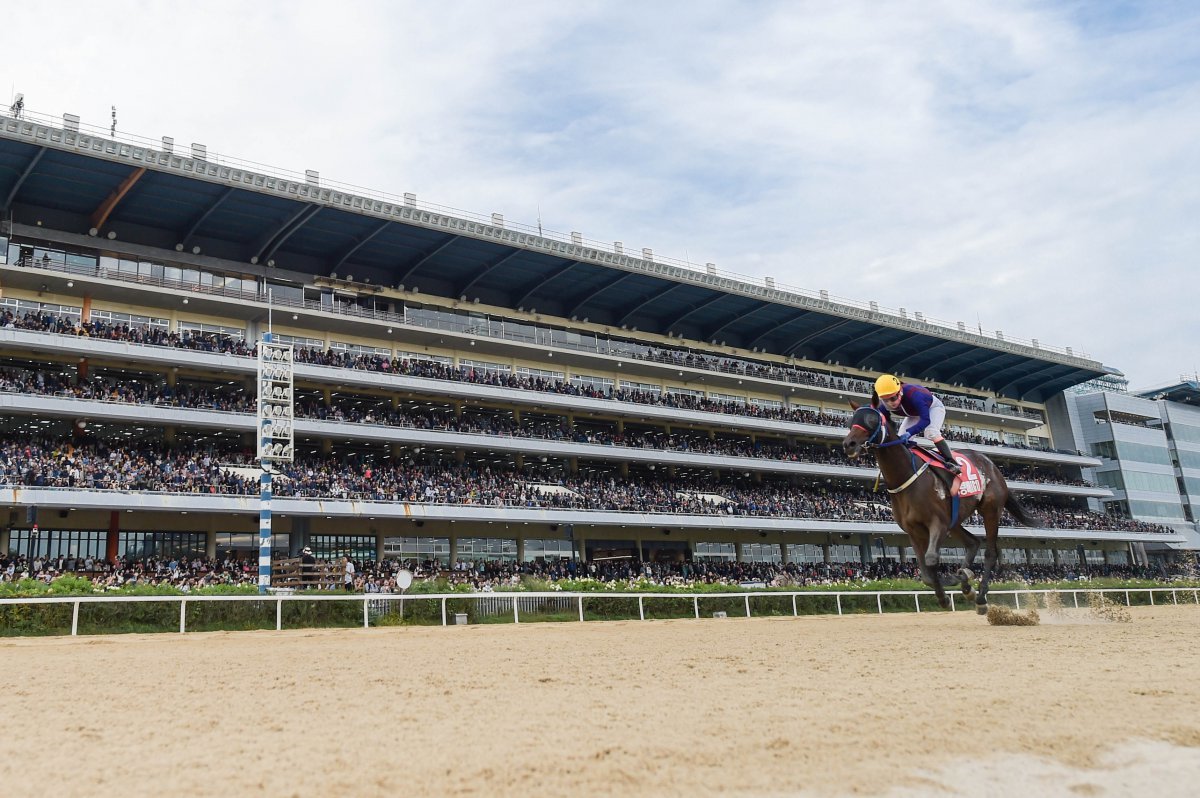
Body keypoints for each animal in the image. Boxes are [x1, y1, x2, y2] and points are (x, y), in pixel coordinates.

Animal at [844, 400, 1041, 612]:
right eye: (851, 419)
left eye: (871, 420)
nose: (849, 444)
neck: (906, 476)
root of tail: (992, 466)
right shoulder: (913, 530)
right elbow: (926, 574)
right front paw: (950, 586)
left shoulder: (937, 523)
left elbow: (931, 559)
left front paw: (950, 587)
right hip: (954, 521)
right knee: (972, 542)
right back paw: (967, 584)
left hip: (990, 510)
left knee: (990, 552)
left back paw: (980, 597)